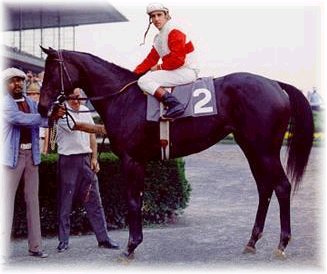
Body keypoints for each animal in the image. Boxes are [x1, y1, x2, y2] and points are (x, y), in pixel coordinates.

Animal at [38, 47, 316, 260]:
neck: (124, 98)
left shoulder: (131, 160)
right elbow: (138, 199)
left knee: (281, 187)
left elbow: (132, 201)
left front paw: (131, 246)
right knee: (264, 189)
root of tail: (274, 83)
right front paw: (134, 242)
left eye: (51, 72)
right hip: (252, 149)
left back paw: (281, 244)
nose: (42, 107)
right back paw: (252, 241)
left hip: (265, 151)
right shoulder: (139, 162)